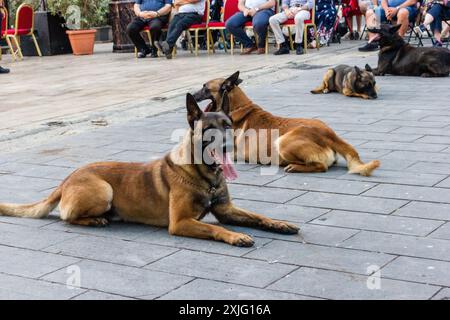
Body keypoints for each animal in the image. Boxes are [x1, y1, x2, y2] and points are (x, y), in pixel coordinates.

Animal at [0, 92, 298, 248]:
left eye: (227, 125)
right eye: (209, 129)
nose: (227, 146)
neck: (204, 176)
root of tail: (65, 180)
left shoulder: (226, 210)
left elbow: (258, 216)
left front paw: (279, 224)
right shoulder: (181, 222)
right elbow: (217, 229)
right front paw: (236, 236)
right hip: (104, 190)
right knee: (67, 217)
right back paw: (95, 220)